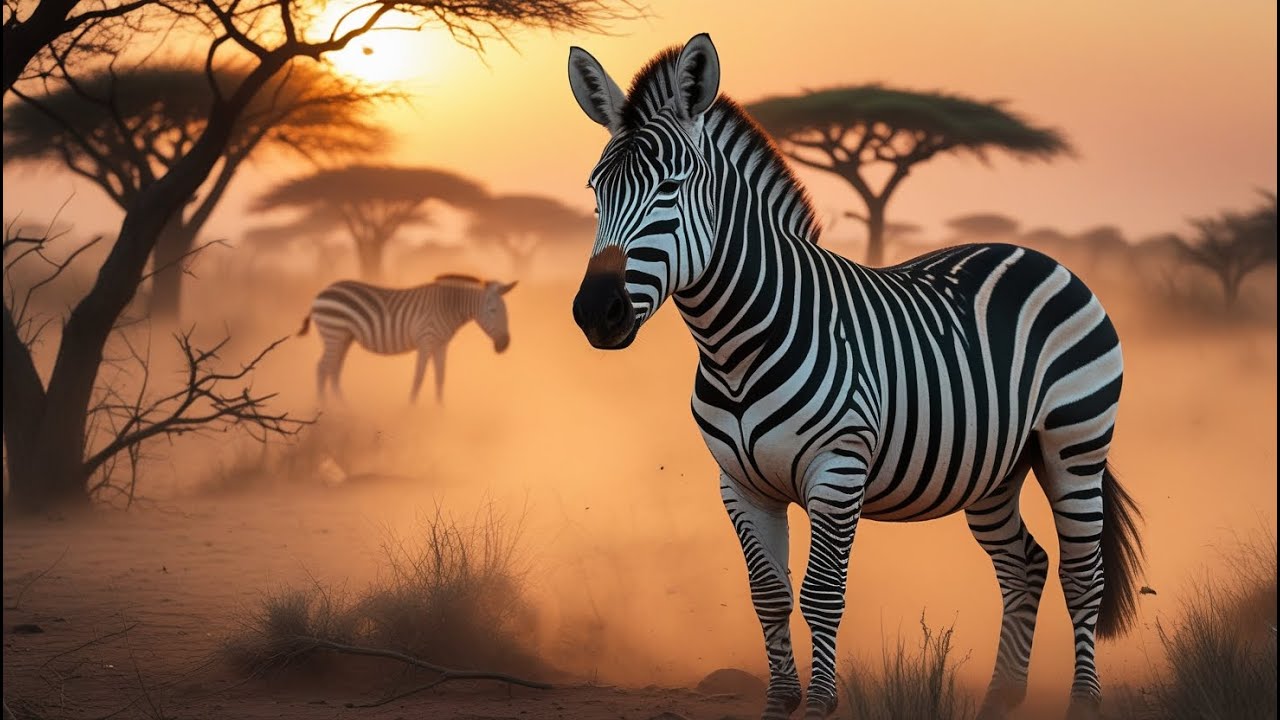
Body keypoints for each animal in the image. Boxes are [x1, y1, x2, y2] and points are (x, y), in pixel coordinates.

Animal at [298, 274, 517, 403]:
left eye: (507, 312)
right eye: (493, 310)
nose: (505, 345)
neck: (448, 307)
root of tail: (322, 292)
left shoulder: (441, 345)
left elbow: (440, 378)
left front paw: (441, 415)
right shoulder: (426, 341)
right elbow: (418, 378)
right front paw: (409, 414)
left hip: (345, 337)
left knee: (333, 370)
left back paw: (343, 410)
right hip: (334, 333)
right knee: (322, 368)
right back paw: (325, 410)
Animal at [566, 34, 1143, 720]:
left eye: (672, 189)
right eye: (596, 190)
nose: (595, 312)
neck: (735, 347)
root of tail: (1035, 254)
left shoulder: (837, 469)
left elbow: (821, 594)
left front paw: (818, 704)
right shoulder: (739, 483)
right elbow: (768, 594)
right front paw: (779, 703)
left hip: (1073, 446)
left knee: (1083, 576)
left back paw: (1083, 701)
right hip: (995, 468)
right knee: (1023, 565)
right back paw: (1001, 699)